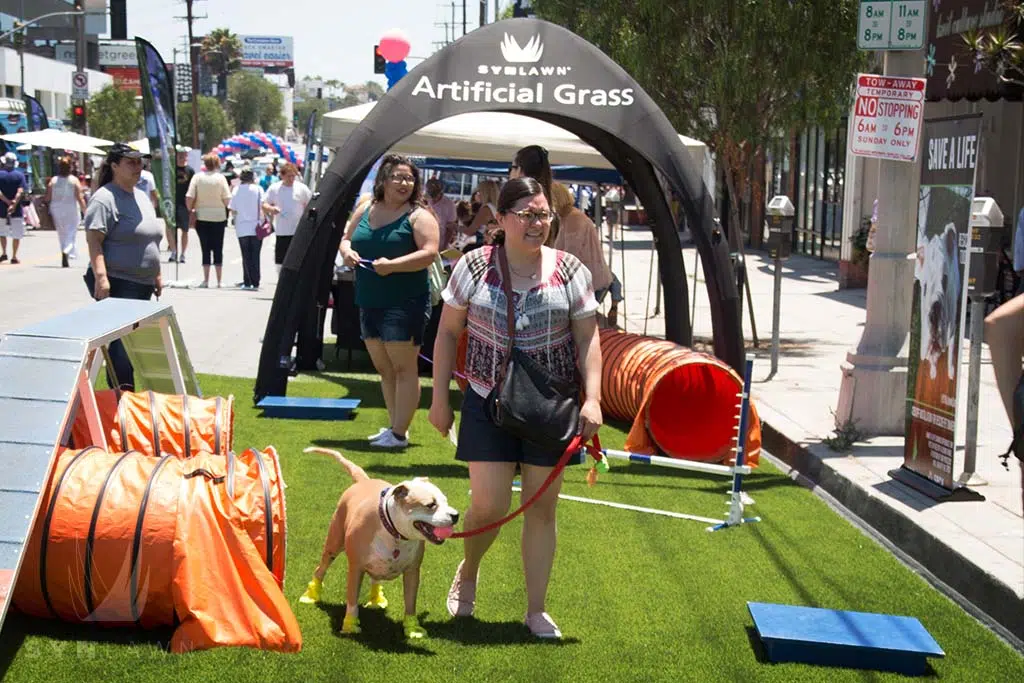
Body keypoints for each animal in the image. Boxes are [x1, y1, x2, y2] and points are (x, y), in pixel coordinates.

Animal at [296, 446, 456, 638]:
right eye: (431, 505)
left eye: (446, 501)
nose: (455, 515)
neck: (394, 533)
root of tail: (364, 481)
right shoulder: (355, 568)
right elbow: (352, 601)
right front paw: (350, 625)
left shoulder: (412, 571)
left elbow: (410, 602)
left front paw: (412, 628)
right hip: (333, 544)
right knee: (321, 568)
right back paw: (311, 595)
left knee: (375, 578)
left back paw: (376, 600)